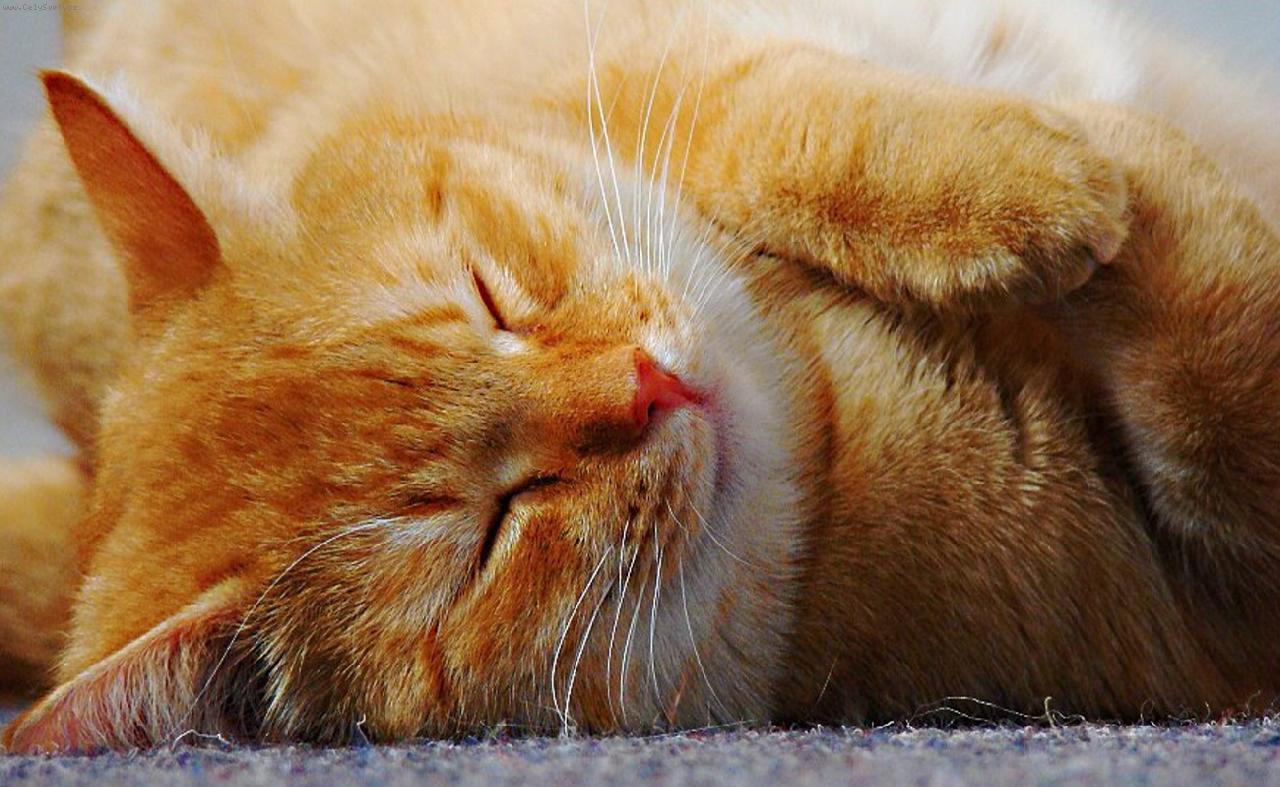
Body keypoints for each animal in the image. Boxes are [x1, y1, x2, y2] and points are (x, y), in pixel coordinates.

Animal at [1, 0, 1279, 753]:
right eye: (489, 531)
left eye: (493, 299)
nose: (644, 388)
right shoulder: (1198, 590)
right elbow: (1223, 347)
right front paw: (1098, 178)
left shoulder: (645, 50)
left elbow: (766, 111)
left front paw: (1024, 173)